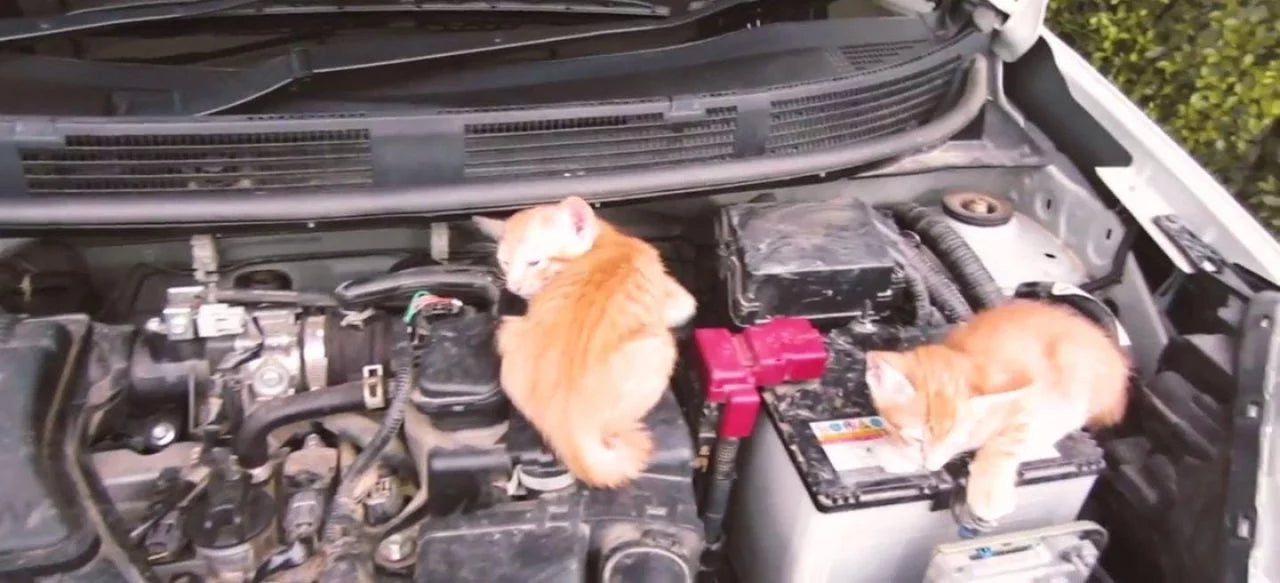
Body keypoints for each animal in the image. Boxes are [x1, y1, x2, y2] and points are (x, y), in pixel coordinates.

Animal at [473, 196, 696, 489]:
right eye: (505, 263)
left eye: (534, 262)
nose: (513, 287)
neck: (608, 241)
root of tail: (568, 422)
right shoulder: (680, 300)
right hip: (662, 347)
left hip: (509, 331)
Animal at [860, 298, 1131, 522]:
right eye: (917, 438)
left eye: (956, 441)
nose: (933, 465)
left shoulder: (1027, 400)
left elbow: (1005, 442)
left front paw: (989, 493)